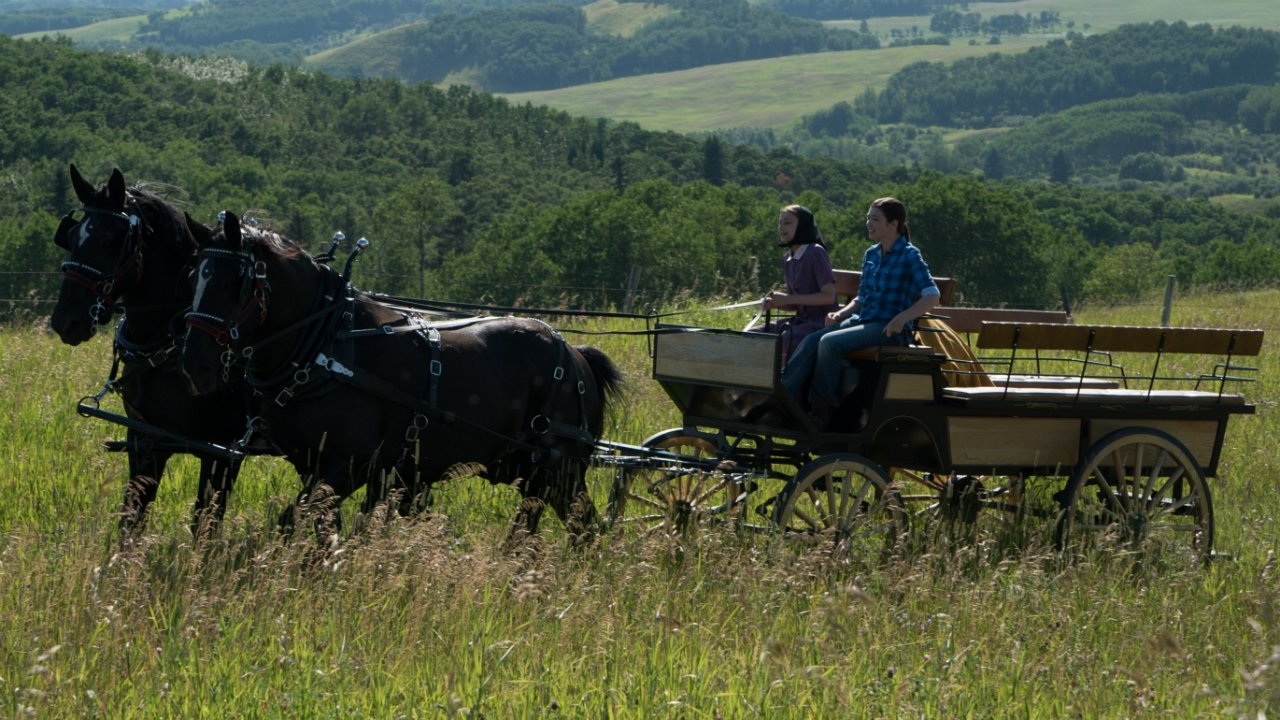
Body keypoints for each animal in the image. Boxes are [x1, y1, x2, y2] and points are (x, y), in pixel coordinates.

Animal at [48, 162, 252, 532]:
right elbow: (132, 518)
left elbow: (206, 523)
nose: (65, 321)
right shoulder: (145, 439)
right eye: (70, 238)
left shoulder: (223, 450)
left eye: (110, 241)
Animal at [180, 210, 624, 540]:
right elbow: (318, 530)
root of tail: (577, 354)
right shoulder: (318, 466)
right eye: (193, 276)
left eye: (232, 282)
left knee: (583, 529)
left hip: (560, 469)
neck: (327, 342)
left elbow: (295, 521)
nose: (194, 364)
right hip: (530, 472)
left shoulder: (346, 467)